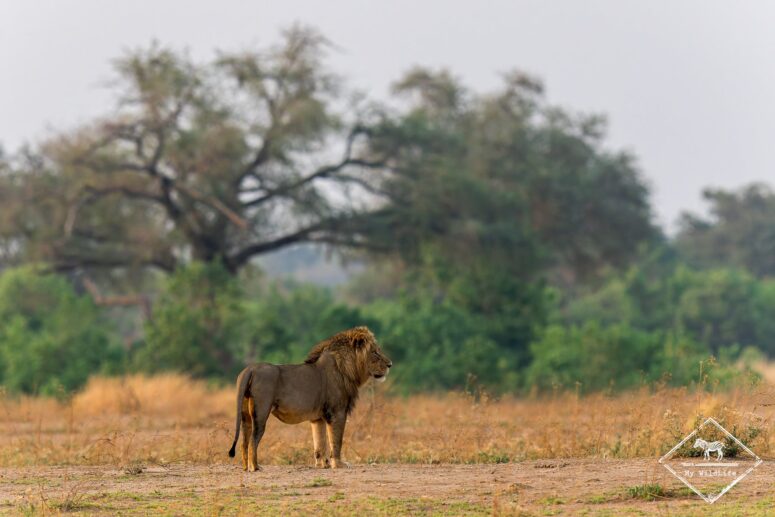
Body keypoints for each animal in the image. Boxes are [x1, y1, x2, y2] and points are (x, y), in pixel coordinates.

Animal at [227, 326, 392, 471]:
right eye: (375, 352)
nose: (390, 364)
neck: (347, 368)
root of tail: (250, 368)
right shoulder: (337, 412)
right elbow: (336, 440)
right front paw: (339, 464)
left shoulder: (318, 417)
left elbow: (319, 443)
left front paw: (322, 465)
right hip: (261, 412)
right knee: (253, 439)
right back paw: (255, 467)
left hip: (246, 414)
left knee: (244, 441)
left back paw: (245, 467)